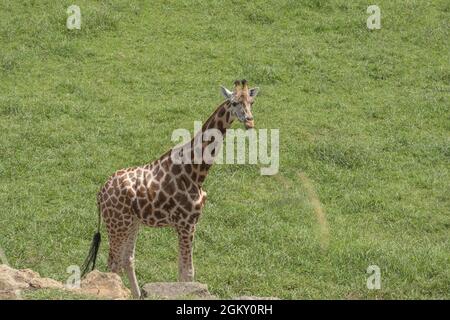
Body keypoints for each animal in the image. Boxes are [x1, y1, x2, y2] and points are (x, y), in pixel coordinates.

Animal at [81, 79, 260, 298]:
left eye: (251, 102)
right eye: (234, 103)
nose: (249, 121)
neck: (195, 172)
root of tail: (100, 193)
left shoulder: (188, 224)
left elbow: (182, 271)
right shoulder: (186, 224)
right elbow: (188, 273)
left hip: (132, 222)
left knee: (127, 259)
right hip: (117, 223)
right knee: (113, 264)